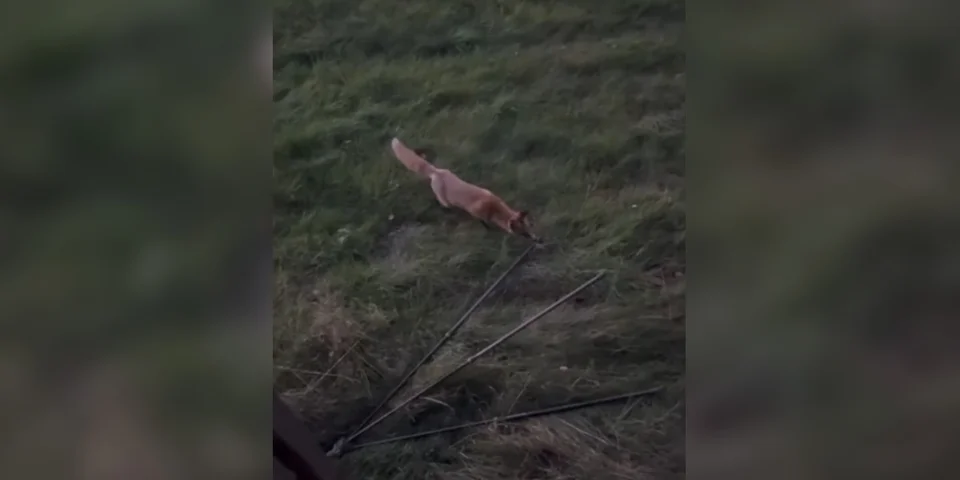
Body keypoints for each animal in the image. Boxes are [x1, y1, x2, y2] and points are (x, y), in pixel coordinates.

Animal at [390, 137, 539, 242]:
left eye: (530, 227)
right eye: (524, 234)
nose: (538, 240)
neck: (493, 207)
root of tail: (436, 172)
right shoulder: (476, 213)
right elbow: (484, 224)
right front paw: (489, 231)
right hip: (445, 201)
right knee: (444, 205)